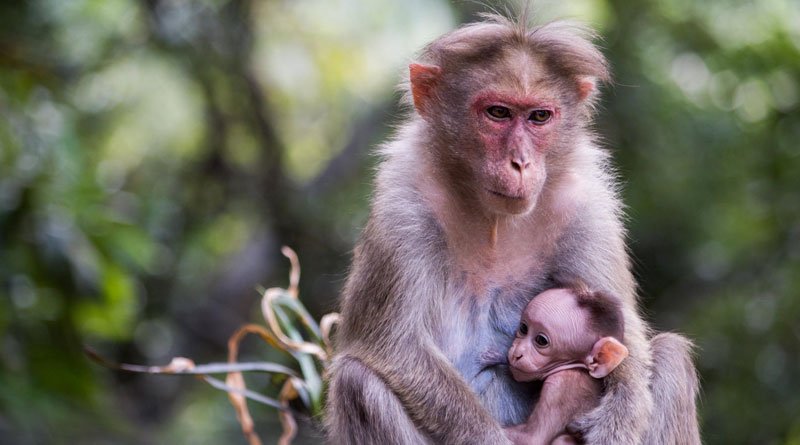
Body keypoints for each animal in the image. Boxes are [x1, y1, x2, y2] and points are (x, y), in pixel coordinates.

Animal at [506, 286, 632, 442]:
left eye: (541, 340)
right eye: (524, 328)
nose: (517, 354)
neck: (577, 367)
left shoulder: (560, 387)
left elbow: (531, 438)